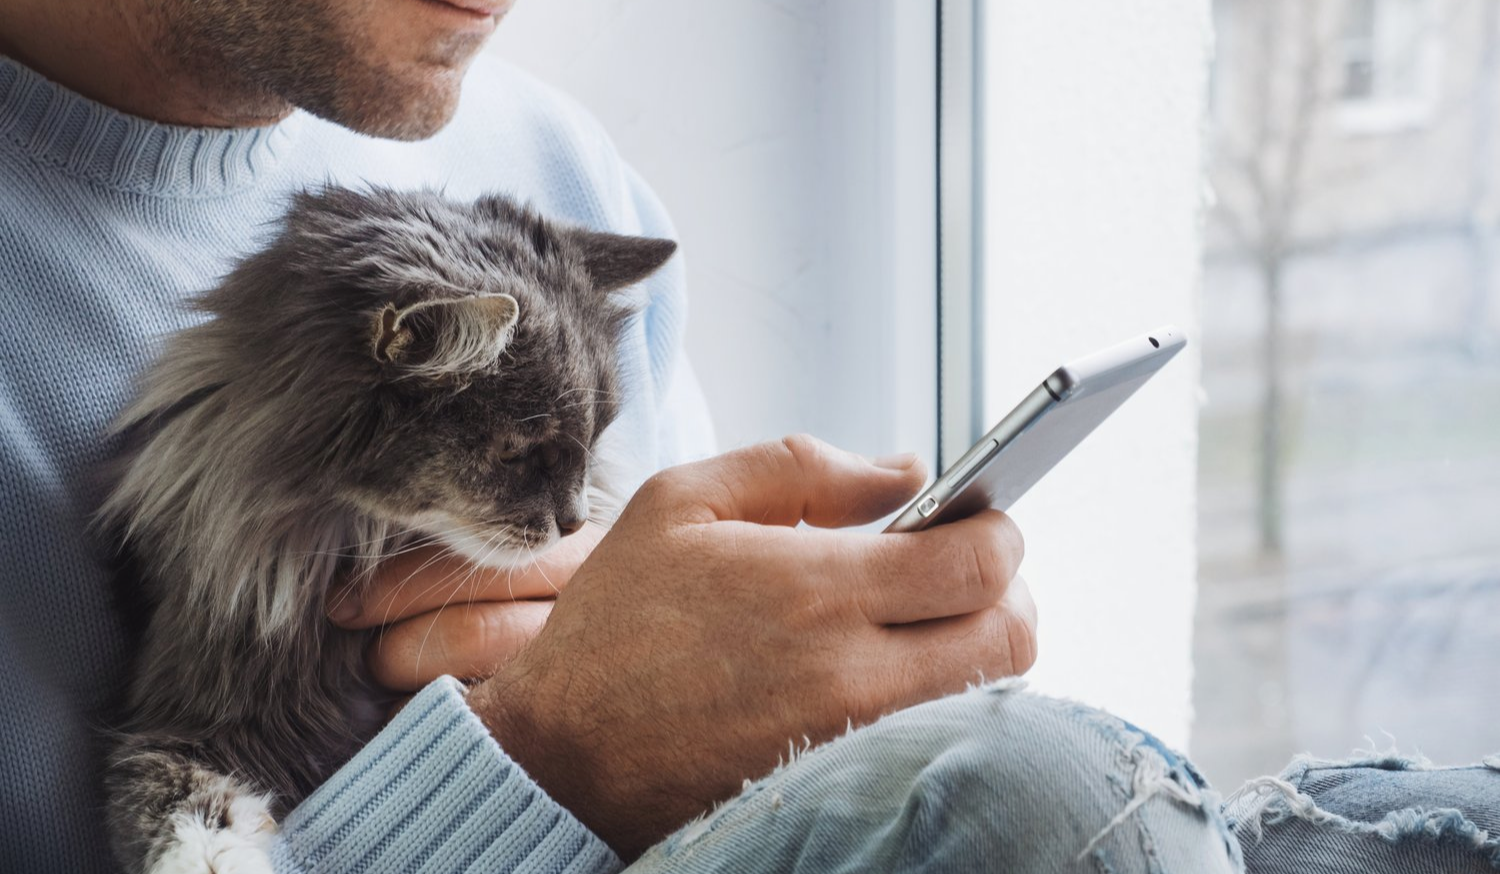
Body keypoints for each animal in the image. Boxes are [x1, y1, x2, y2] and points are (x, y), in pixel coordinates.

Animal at [96, 186, 678, 874]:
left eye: (597, 439)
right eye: (520, 453)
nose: (575, 522)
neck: (358, 538)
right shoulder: (183, 718)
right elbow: (172, 796)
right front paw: (219, 858)